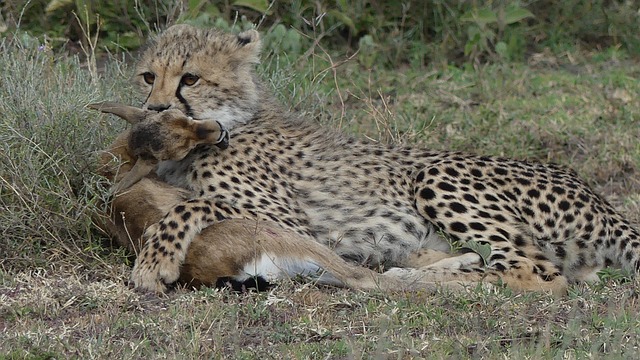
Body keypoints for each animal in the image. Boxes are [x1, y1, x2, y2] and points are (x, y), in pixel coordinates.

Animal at [117, 24, 636, 296]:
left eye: (190, 78)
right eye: (148, 76)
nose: (155, 109)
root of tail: (596, 196)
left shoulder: (294, 223)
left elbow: (193, 203)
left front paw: (155, 262)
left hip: (436, 173)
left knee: (536, 273)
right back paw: (419, 263)